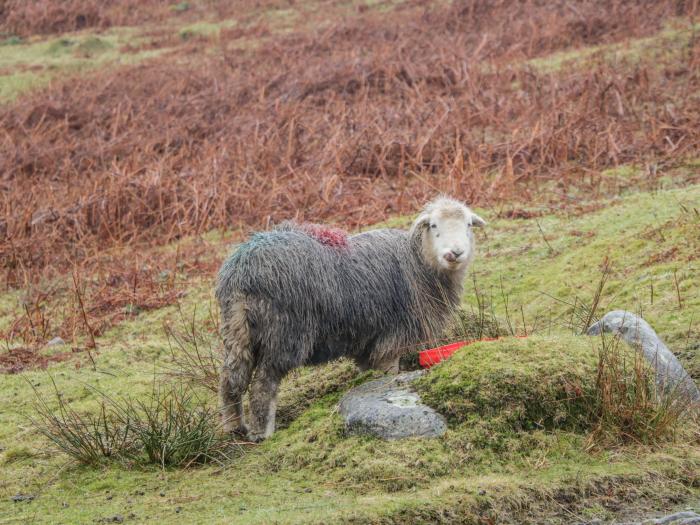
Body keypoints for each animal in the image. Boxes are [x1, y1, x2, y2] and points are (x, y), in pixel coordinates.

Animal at [216, 195, 484, 438]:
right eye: (434, 225)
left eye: (468, 225)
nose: (455, 253)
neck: (418, 263)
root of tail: (243, 271)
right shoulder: (392, 337)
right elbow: (389, 373)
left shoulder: (367, 341)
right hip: (284, 332)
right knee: (263, 385)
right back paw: (263, 433)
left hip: (237, 329)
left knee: (231, 379)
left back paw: (234, 427)